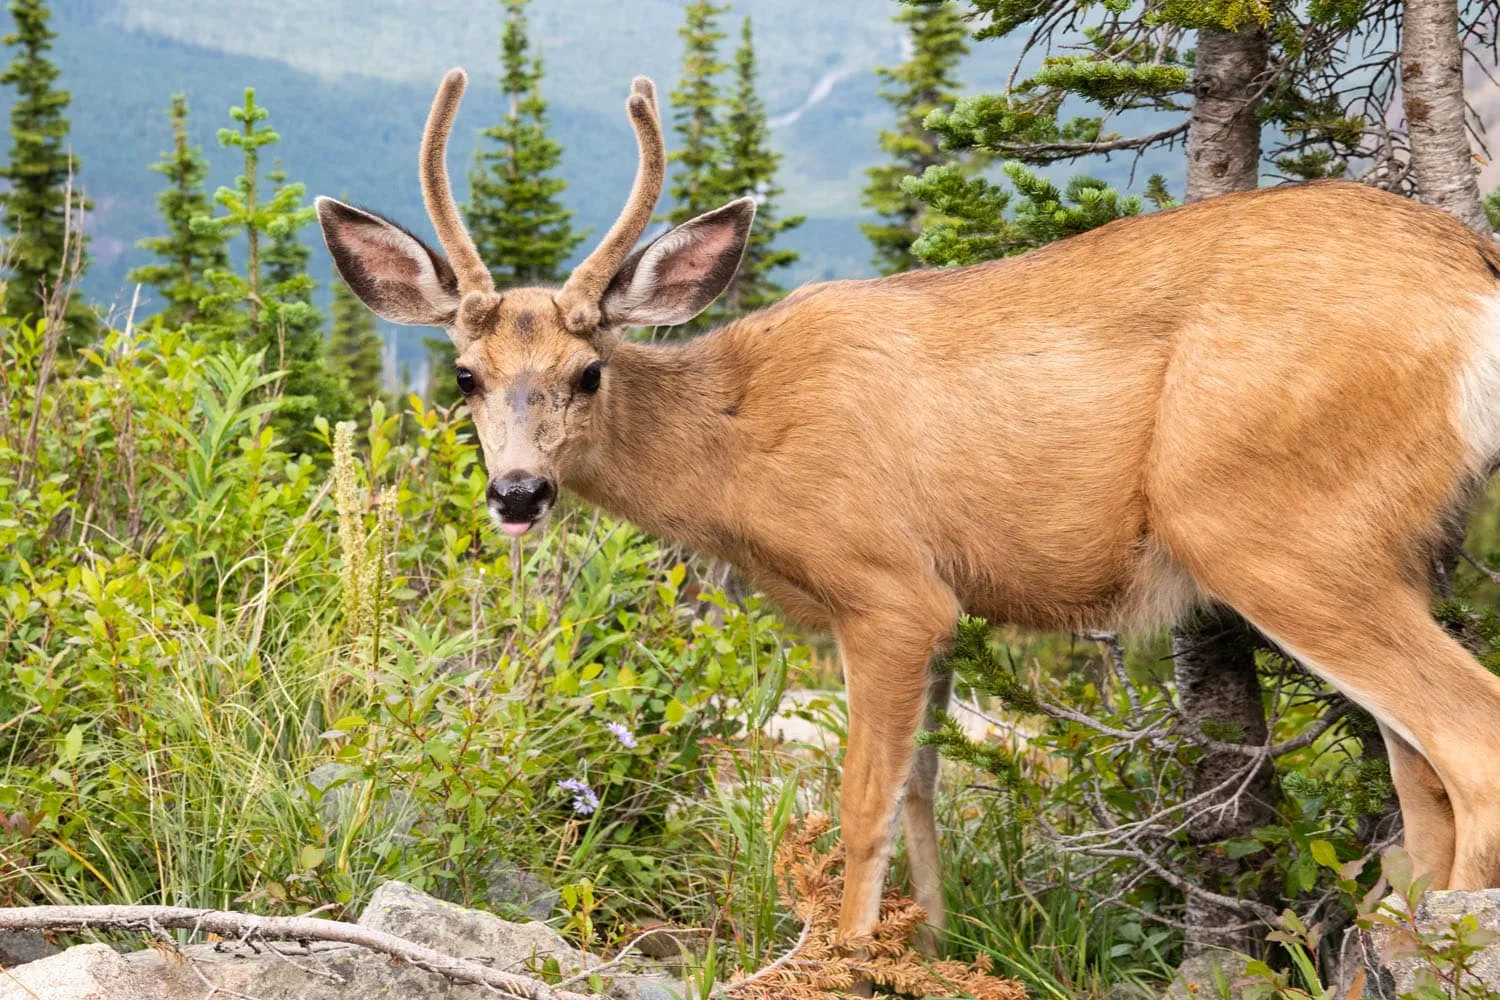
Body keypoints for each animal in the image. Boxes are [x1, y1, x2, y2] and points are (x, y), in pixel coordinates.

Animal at [317, 68, 1500, 953]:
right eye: (465, 375)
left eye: (587, 370)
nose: (518, 492)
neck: (740, 446)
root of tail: (1474, 276)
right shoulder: (946, 607)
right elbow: (926, 795)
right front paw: (930, 943)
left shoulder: (885, 587)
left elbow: (863, 802)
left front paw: (841, 955)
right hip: (1388, 541)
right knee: (1419, 785)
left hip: (1267, 518)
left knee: (1470, 735)